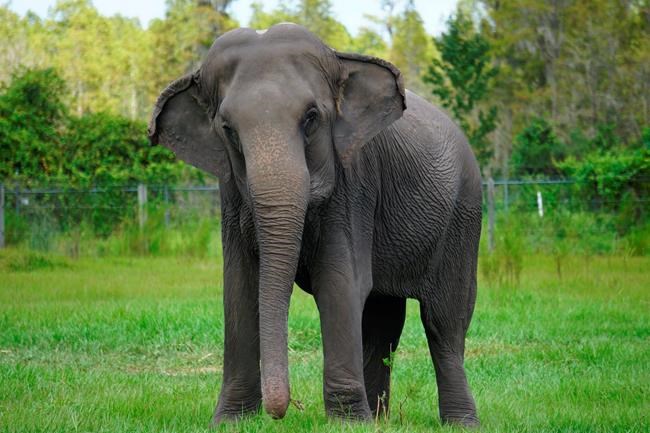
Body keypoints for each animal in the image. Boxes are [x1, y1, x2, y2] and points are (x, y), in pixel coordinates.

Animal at [149, 23, 482, 427]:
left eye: (310, 118)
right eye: (228, 129)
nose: (280, 411)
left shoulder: (355, 182)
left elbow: (339, 281)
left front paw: (347, 424)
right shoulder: (229, 191)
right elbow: (240, 285)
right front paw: (230, 422)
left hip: (463, 215)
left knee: (443, 320)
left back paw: (460, 424)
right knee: (381, 319)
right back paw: (379, 419)